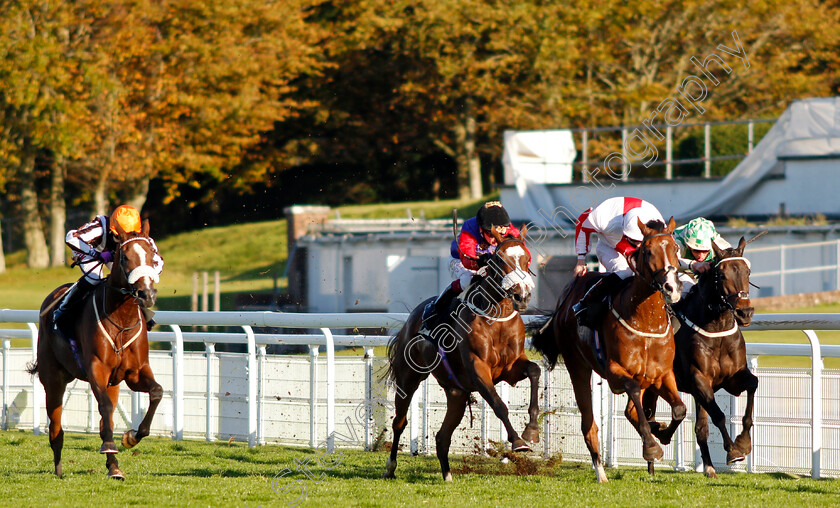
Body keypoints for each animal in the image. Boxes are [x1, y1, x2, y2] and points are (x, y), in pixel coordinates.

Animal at [27, 219, 162, 480]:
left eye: (153, 255)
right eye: (125, 257)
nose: (146, 294)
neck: (122, 319)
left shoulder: (135, 372)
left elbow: (156, 392)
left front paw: (131, 438)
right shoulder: (96, 369)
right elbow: (105, 407)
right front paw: (111, 445)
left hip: (112, 384)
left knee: (102, 421)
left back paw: (114, 467)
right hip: (53, 379)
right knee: (56, 429)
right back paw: (59, 470)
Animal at [384, 230, 540, 480]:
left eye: (527, 258)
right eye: (500, 260)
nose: (522, 295)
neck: (496, 318)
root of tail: (409, 321)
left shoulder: (511, 368)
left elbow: (534, 370)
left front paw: (531, 431)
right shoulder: (478, 370)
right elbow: (499, 405)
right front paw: (518, 441)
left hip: (456, 392)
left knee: (442, 436)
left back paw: (447, 474)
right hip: (408, 378)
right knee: (400, 422)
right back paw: (390, 467)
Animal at [532, 216, 684, 482]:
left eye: (675, 248)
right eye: (648, 251)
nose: (671, 287)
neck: (645, 320)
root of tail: (564, 300)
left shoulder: (662, 374)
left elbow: (679, 409)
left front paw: (661, 434)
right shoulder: (615, 371)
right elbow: (632, 390)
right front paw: (651, 446)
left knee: (631, 412)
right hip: (577, 366)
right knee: (589, 424)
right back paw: (600, 471)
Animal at [644, 236, 760, 478]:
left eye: (748, 272)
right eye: (722, 275)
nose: (745, 312)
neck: (716, 329)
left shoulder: (732, 378)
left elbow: (752, 384)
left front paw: (743, 442)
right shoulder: (699, 379)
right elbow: (718, 416)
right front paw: (733, 450)